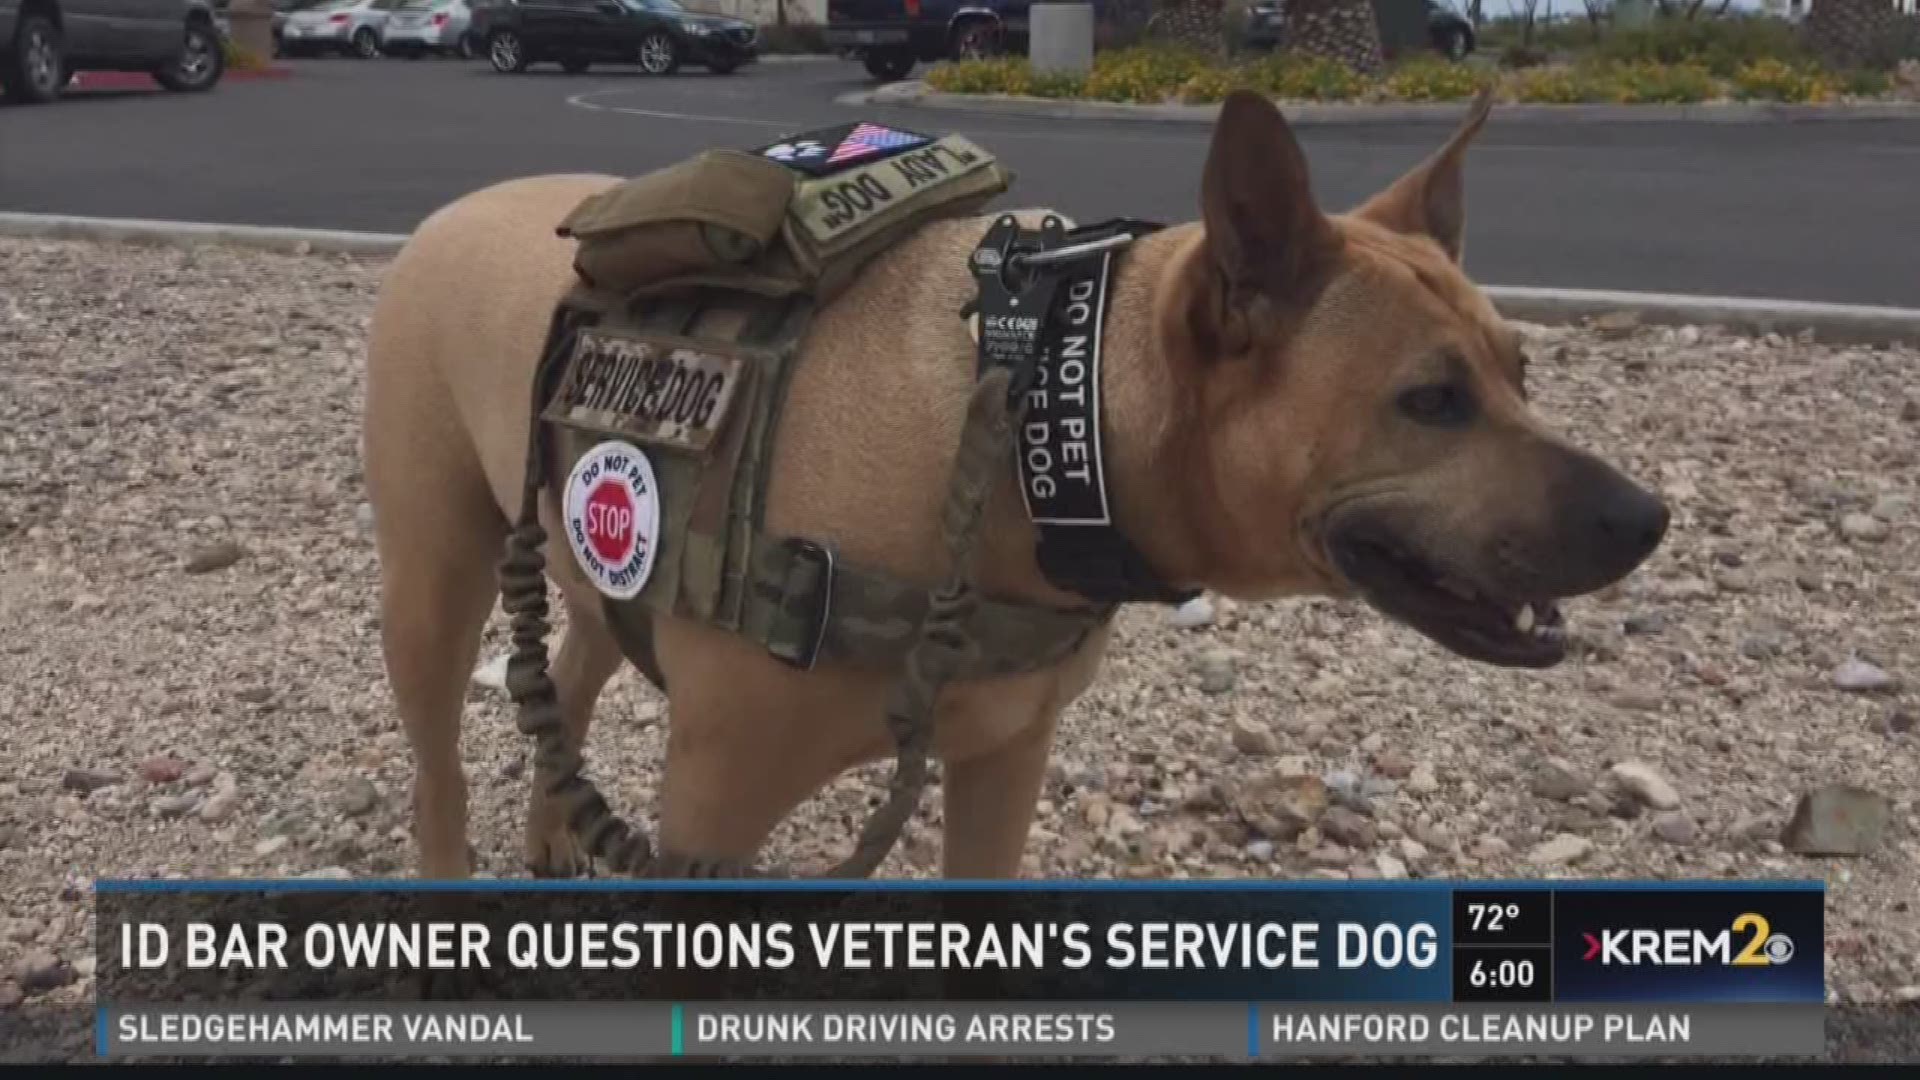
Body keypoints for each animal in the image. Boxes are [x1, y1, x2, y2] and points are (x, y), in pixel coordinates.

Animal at [360, 90, 1666, 883]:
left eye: (1521, 373)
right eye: (1430, 401)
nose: (1648, 518)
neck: (1037, 419)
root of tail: (458, 206)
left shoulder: (1005, 763)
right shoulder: (713, 815)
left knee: (571, 674)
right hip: (433, 579)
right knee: (441, 765)